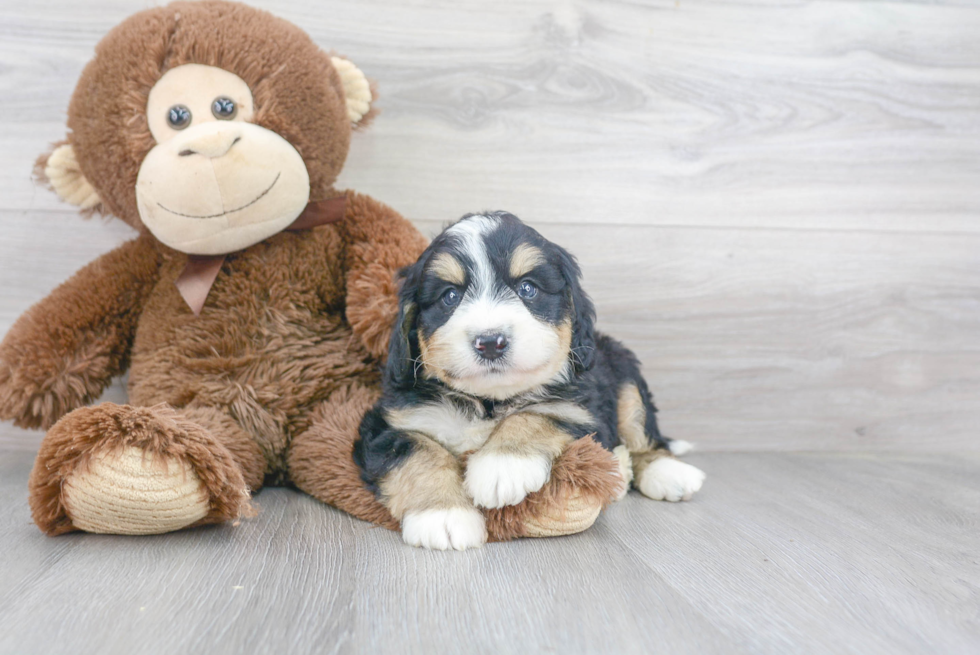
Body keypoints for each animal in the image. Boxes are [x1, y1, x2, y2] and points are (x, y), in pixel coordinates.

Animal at [352, 213, 704, 552]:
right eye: (450, 296)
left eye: (528, 289)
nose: (490, 342)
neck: (488, 402)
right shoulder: (390, 424)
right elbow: (418, 452)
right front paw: (443, 516)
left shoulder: (581, 410)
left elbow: (535, 415)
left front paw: (501, 467)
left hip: (624, 370)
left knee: (642, 433)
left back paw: (667, 472)